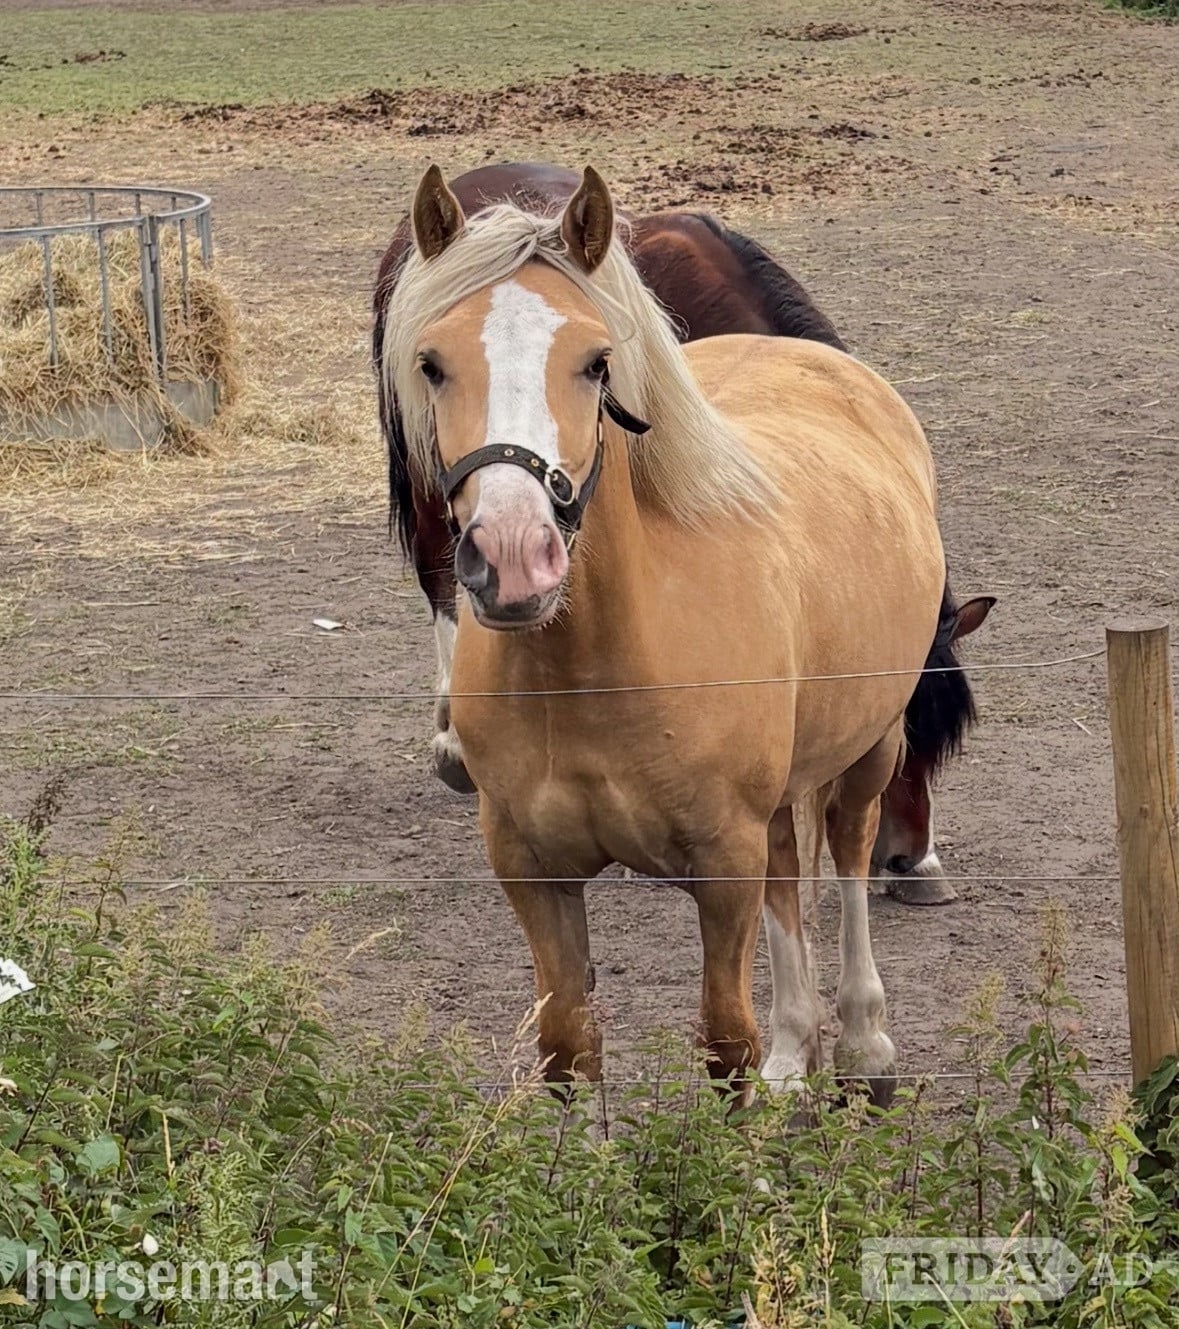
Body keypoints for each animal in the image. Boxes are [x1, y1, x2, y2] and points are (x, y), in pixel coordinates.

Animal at [382, 163, 965, 1103]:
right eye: (431, 363)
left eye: (596, 363)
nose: (512, 556)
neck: (599, 668)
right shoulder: (531, 871)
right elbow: (568, 1050)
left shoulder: (721, 868)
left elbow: (724, 1047)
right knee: (789, 872)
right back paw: (797, 1051)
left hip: (868, 747)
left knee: (844, 857)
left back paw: (863, 1045)